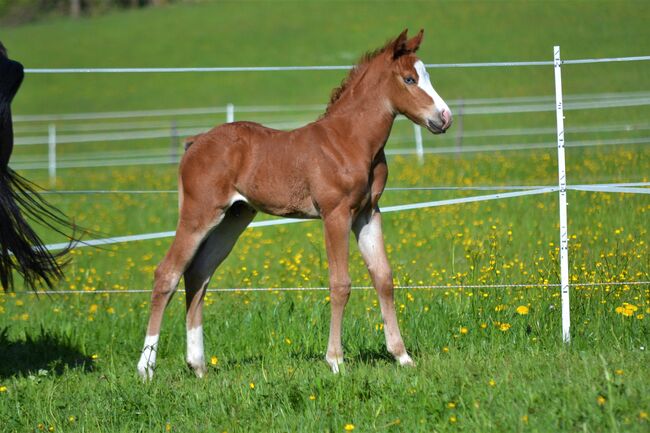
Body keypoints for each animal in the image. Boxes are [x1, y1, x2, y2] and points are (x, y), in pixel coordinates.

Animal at [137, 28, 450, 378]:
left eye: (426, 75)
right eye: (409, 79)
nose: (444, 117)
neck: (350, 140)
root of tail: (194, 144)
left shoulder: (368, 213)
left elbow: (383, 278)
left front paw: (402, 356)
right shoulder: (336, 214)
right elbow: (340, 284)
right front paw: (336, 360)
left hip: (235, 216)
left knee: (198, 273)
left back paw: (198, 364)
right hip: (199, 213)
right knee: (167, 273)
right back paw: (146, 368)